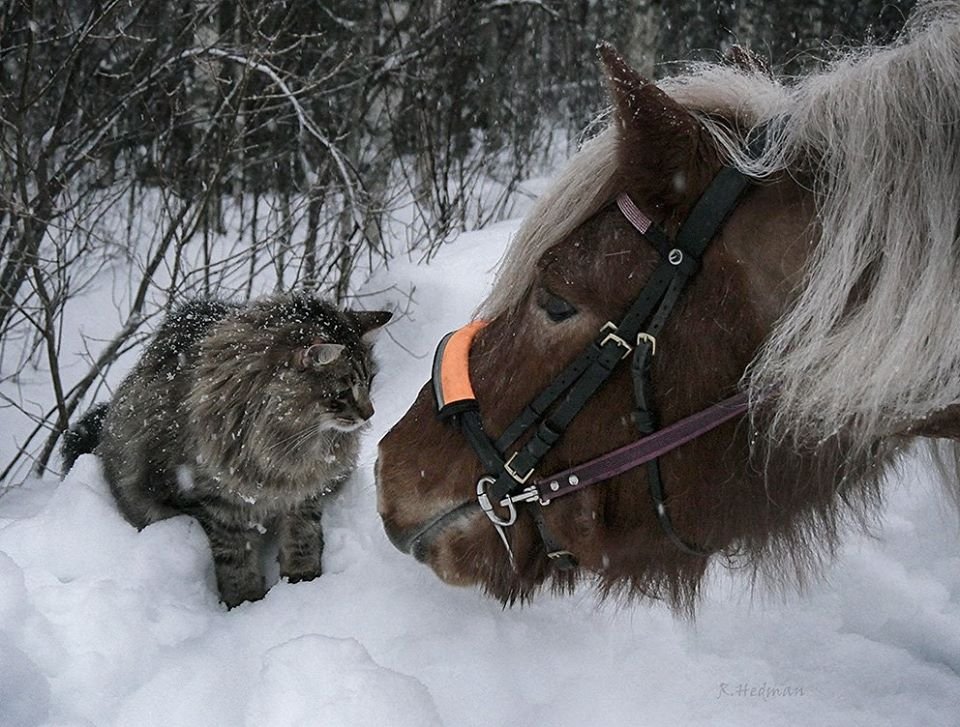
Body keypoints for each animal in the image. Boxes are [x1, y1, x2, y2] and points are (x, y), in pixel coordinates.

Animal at [62, 292, 390, 604]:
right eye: (343, 392)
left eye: (369, 381)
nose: (369, 413)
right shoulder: (213, 504)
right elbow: (236, 559)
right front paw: (245, 603)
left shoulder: (303, 493)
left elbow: (302, 538)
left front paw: (302, 583)